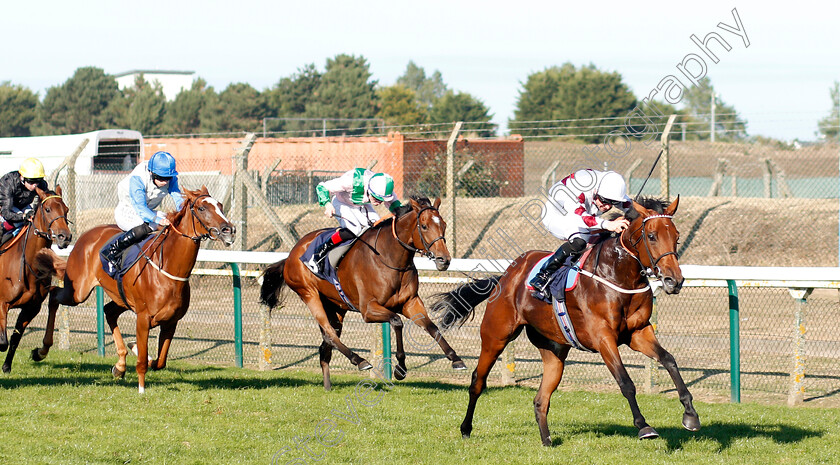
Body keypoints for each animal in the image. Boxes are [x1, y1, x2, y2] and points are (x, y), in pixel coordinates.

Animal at [0, 187, 71, 372]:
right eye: (48, 209)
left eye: (66, 209)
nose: (65, 237)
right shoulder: (2, 303)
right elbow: (3, 342)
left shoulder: (31, 307)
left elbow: (15, 338)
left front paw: (7, 366)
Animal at [35, 185, 233, 392]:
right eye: (202, 208)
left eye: (220, 206)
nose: (229, 229)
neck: (168, 268)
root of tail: (86, 235)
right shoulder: (143, 318)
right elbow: (143, 362)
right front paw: (141, 389)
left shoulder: (171, 321)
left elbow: (160, 362)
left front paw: (134, 351)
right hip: (77, 291)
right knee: (54, 295)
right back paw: (42, 350)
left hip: (120, 298)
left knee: (109, 311)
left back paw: (120, 366)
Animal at [258, 194, 466, 390]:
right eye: (424, 226)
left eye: (444, 225)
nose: (444, 260)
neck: (389, 258)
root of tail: (290, 255)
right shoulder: (368, 309)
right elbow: (397, 322)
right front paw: (400, 368)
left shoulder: (411, 302)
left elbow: (432, 327)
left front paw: (456, 359)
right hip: (309, 294)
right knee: (329, 333)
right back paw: (360, 360)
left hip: (336, 307)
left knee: (326, 344)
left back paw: (328, 385)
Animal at [430, 195, 700, 442]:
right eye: (652, 236)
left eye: (676, 236)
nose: (674, 281)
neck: (617, 274)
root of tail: (506, 275)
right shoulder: (603, 338)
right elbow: (625, 381)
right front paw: (644, 426)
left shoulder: (638, 332)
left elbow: (669, 360)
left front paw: (690, 415)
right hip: (496, 336)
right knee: (478, 380)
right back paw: (466, 428)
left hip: (554, 350)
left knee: (541, 399)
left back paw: (547, 440)